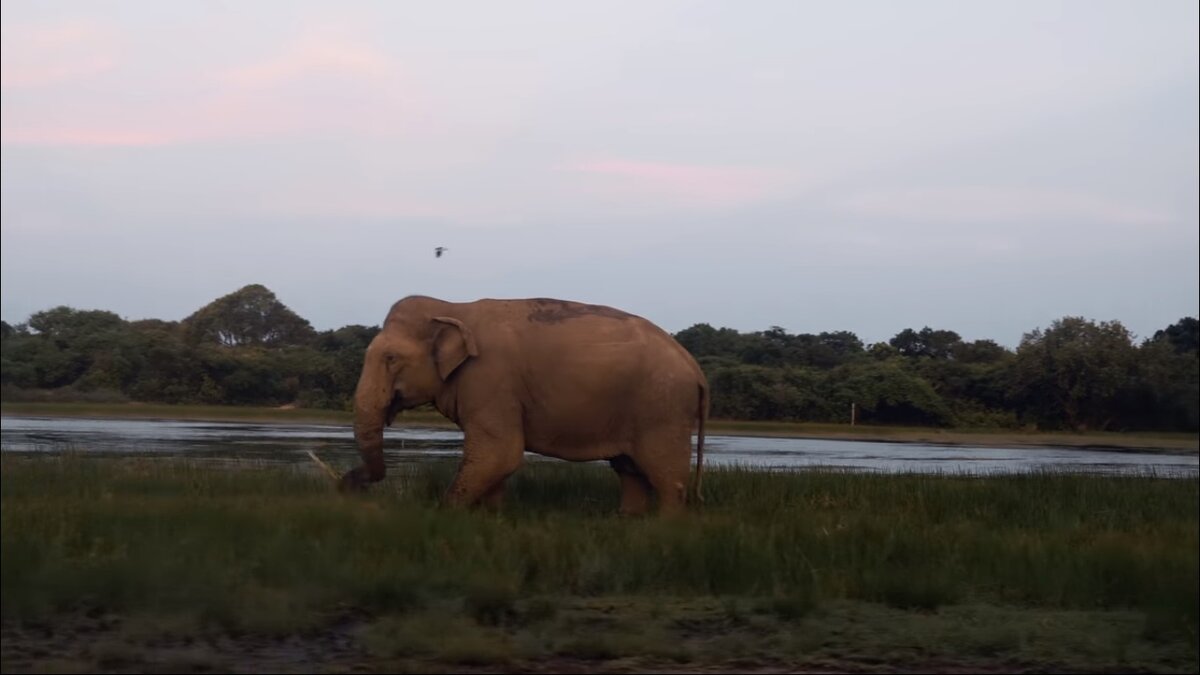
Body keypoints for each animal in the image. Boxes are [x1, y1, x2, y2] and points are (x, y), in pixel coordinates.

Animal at [343, 294, 705, 514]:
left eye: (390, 358)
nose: (346, 483)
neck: (453, 307)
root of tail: (696, 368)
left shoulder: (490, 380)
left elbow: (499, 454)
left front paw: (443, 514)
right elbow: (495, 462)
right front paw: (493, 517)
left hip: (663, 408)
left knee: (665, 476)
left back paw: (665, 528)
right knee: (629, 470)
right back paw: (628, 521)